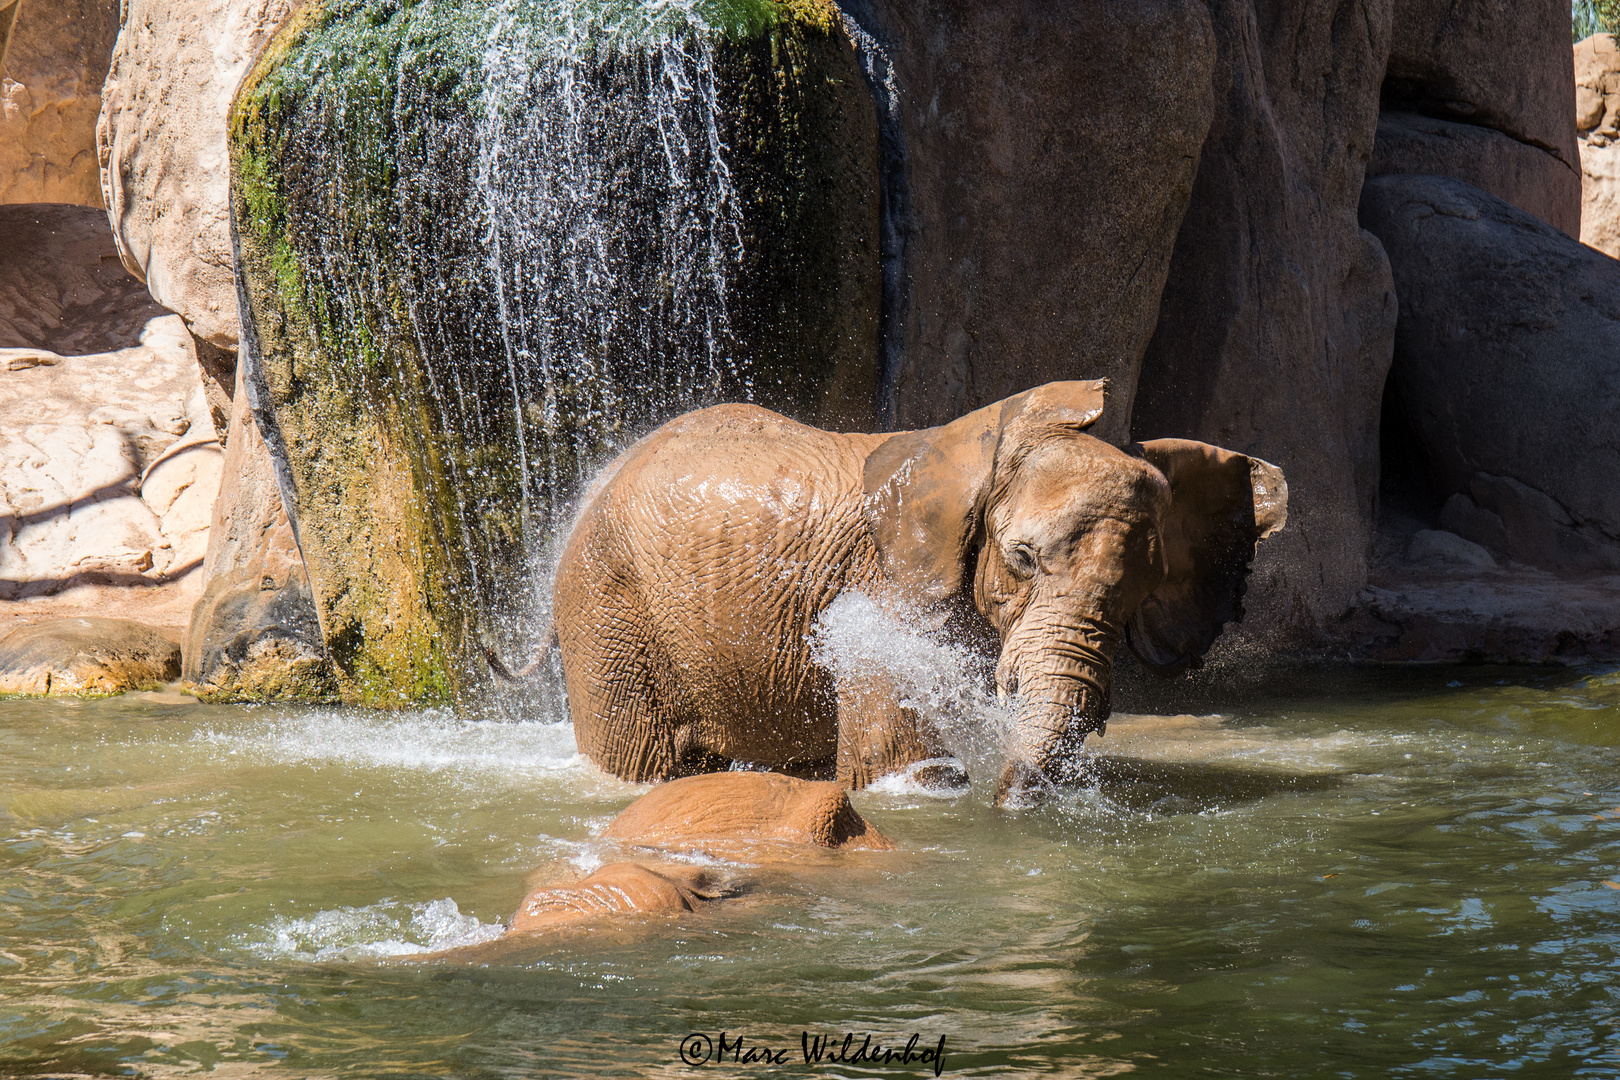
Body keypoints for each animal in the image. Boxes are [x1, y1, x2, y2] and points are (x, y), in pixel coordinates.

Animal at [537, 380, 1283, 803]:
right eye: (1022, 558)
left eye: (1141, 594)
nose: (1011, 800)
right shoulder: (880, 596)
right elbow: (900, 763)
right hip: (605, 603)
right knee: (640, 757)